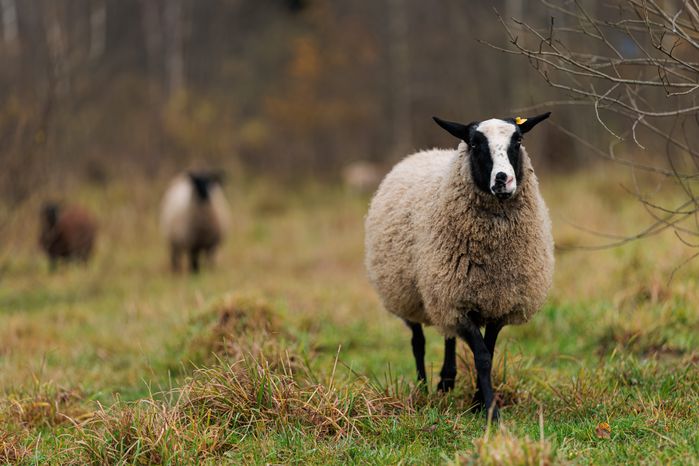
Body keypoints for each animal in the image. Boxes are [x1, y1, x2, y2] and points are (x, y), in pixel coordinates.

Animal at [364, 113, 554, 421]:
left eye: (518, 140)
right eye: (475, 144)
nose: (503, 180)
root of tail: (423, 152)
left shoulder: (499, 303)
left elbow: (489, 350)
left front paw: (479, 401)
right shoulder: (457, 303)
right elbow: (482, 356)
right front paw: (490, 411)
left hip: (441, 294)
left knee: (448, 335)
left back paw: (446, 381)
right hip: (409, 293)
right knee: (418, 342)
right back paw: (423, 388)